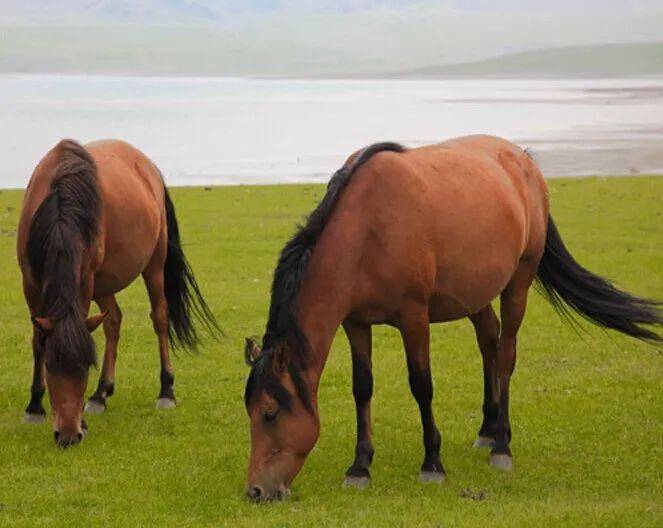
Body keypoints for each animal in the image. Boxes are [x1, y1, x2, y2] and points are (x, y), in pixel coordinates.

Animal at [17, 138, 218, 448]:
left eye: (86, 367)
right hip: (104, 283)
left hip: (153, 264)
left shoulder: (84, 280)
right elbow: (39, 341)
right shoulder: (30, 284)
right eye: (51, 366)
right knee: (113, 320)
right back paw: (101, 394)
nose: (69, 435)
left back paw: (166, 391)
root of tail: (147, 165)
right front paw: (35, 406)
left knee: (160, 318)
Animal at [244, 134, 663, 502]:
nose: (257, 491)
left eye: (270, 413)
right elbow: (362, 387)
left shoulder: (413, 317)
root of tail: (524, 161)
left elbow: (421, 385)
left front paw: (432, 463)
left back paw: (502, 446)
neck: (366, 229)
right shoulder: (355, 323)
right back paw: (488, 430)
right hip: (475, 293)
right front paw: (360, 467)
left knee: (506, 355)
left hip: (518, 284)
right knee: (489, 342)